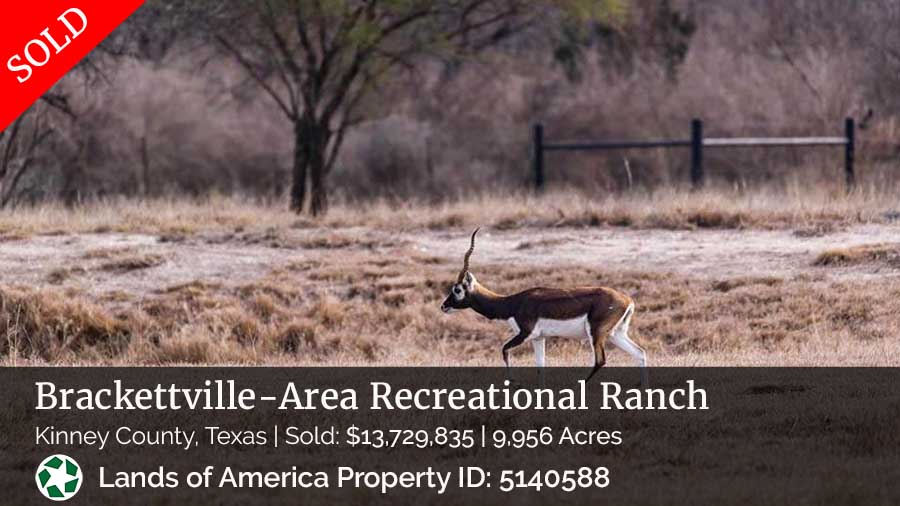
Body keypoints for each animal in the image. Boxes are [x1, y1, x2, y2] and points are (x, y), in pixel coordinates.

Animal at [438, 229, 644, 384]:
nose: (443, 306)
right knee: (640, 353)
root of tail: (627, 299)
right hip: (615, 334)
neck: (512, 304)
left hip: (596, 334)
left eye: (457, 289)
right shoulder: (539, 338)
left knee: (600, 361)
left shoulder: (525, 334)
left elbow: (504, 350)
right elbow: (540, 366)